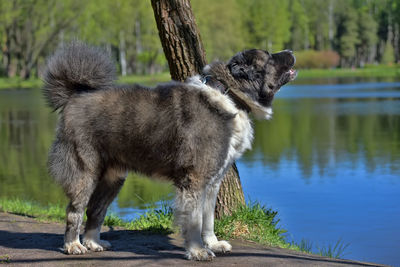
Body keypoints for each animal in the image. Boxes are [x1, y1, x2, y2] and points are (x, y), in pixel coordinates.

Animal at [42, 42, 296, 262]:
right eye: (269, 56)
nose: (291, 51)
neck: (229, 93)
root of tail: (76, 95)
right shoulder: (194, 180)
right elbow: (194, 221)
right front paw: (197, 251)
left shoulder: (212, 181)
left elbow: (208, 219)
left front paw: (213, 244)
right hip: (85, 172)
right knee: (75, 210)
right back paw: (73, 245)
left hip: (113, 177)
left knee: (96, 209)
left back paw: (93, 242)